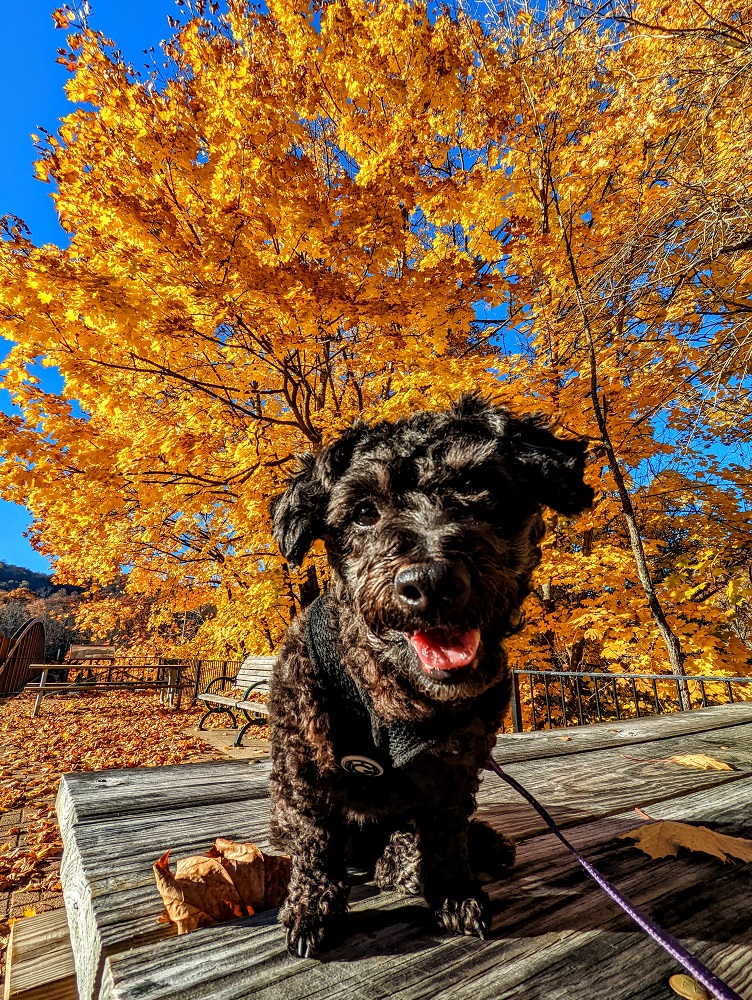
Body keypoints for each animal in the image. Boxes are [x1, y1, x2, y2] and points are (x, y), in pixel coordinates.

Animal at [268, 394, 592, 956]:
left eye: (481, 490)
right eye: (364, 512)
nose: (432, 582)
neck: (394, 693)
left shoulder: (456, 765)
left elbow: (444, 834)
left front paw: (454, 892)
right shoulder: (302, 760)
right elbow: (315, 842)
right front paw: (312, 909)